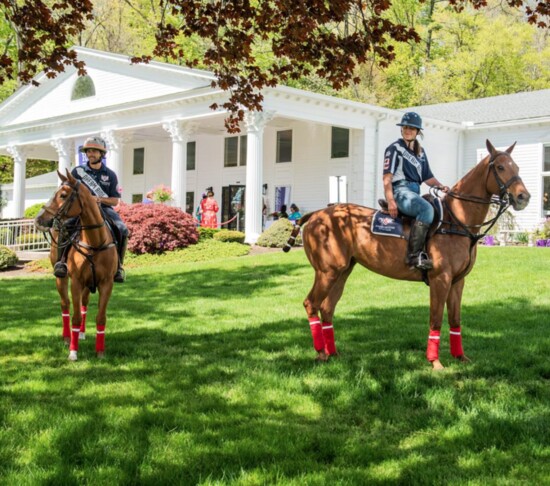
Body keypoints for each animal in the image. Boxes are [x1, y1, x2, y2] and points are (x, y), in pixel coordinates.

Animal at [35, 170, 118, 360]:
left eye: (63, 195)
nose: (39, 220)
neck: (95, 242)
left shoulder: (106, 283)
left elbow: (100, 317)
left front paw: (100, 351)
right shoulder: (76, 282)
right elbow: (75, 317)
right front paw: (73, 352)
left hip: (89, 284)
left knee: (84, 304)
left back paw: (81, 333)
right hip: (62, 279)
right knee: (65, 304)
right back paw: (67, 337)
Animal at [286, 140, 532, 368]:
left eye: (517, 166)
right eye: (500, 167)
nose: (523, 197)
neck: (457, 220)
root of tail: (316, 214)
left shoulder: (457, 281)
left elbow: (455, 320)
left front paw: (460, 357)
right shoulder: (440, 279)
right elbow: (435, 320)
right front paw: (435, 362)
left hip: (343, 271)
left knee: (327, 308)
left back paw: (333, 353)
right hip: (326, 272)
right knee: (311, 304)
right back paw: (321, 353)